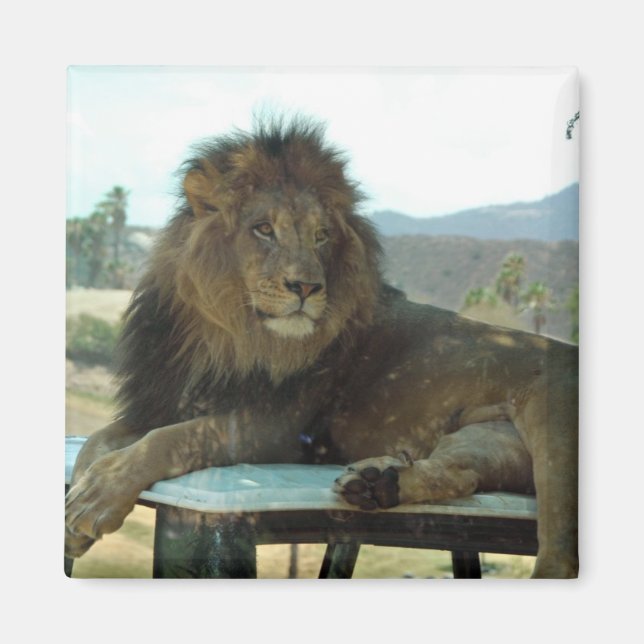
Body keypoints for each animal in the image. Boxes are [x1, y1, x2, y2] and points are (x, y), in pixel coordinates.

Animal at [65, 117, 578, 578]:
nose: (307, 287)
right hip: (485, 437)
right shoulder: (159, 403)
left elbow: (168, 439)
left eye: (321, 236)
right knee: (463, 473)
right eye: (263, 229)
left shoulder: (276, 427)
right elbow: (98, 440)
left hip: (554, 431)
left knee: (559, 556)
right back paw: (378, 483)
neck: (226, 334)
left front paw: (97, 498)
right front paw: (77, 514)